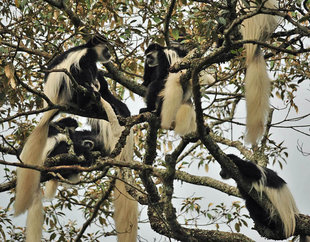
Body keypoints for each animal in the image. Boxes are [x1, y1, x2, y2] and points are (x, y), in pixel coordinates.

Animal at [14, 34, 111, 216]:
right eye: (107, 48)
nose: (109, 54)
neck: (87, 49)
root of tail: (53, 101)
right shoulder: (84, 58)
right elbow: (80, 72)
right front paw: (92, 88)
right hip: (67, 92)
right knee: (76, 75)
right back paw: (87, 98)